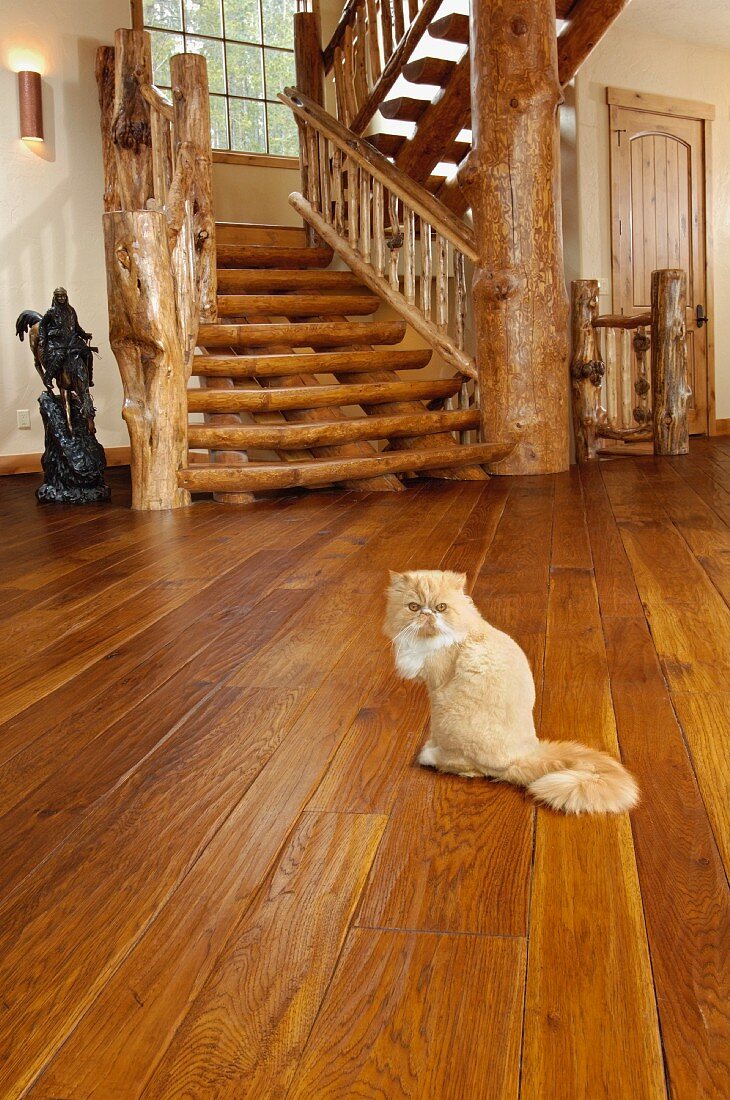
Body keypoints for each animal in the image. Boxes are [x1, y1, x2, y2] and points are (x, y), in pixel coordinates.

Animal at [384, 572, 637, 814]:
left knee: (469, 768)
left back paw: (428, 755)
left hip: (448, 718)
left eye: (441, 607)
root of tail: (524, 756)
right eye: (413, 606)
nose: (427, 614)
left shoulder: (436, 685)